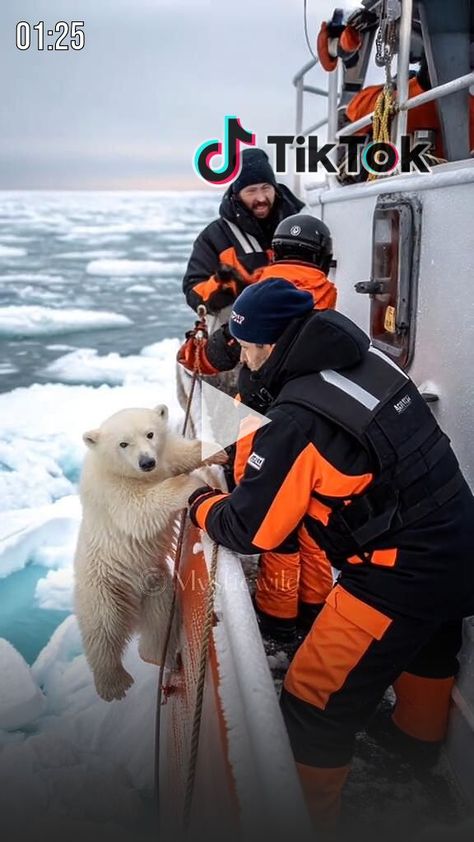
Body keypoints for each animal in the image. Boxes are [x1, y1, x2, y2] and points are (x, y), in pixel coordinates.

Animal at [72, 404, 224, 700]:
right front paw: (189, 485)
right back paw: (114, 684)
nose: (146, 462)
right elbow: (138, 510)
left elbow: (182, 453)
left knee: (160, 618)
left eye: (150, 434)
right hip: (103, 585)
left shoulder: (163, 456)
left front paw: (219, 451)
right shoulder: (113, 490)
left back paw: (154, 655)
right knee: (103, 628)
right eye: (123, 443)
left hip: (156, 584)